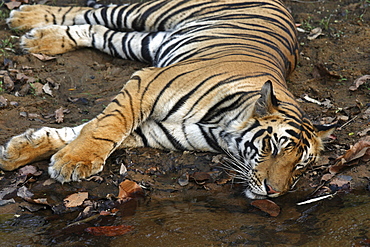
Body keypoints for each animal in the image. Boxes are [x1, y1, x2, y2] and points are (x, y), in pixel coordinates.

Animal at [0, 0, 334, 199]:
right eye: (274, 147)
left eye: (300, 166)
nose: (274, 192)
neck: (223, 129)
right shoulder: (145, 82)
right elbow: (106, 126)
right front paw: (73, 161)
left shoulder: (155, 131)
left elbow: (85, 130)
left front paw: (19, 151)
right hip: (148, 13)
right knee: (92, 12)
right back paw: (24, 17)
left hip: (143, 42)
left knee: (97, 30)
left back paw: (41, 39)